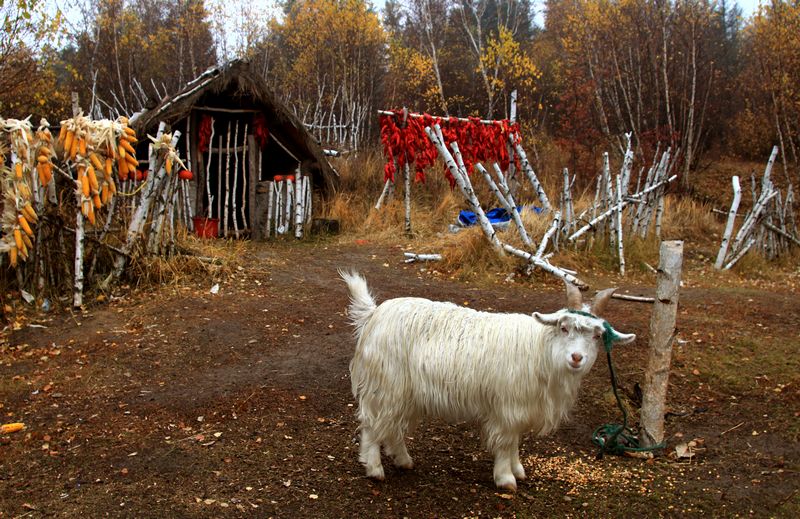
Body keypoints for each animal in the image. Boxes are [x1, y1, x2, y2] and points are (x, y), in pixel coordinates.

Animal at [340, 272, 636, 492]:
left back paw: (403, 460)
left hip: (404, 393)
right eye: (563, 328)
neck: (540, 348)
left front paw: (518, 469)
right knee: (372, 425)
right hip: (385, 386)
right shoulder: (507, 408)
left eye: (597, 336)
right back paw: (374, 468)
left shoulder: (518, 409)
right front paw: (506, 479)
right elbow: (505, 443)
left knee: (392, 428)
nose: (576, 357)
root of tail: (374, 314)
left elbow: (516, 441)